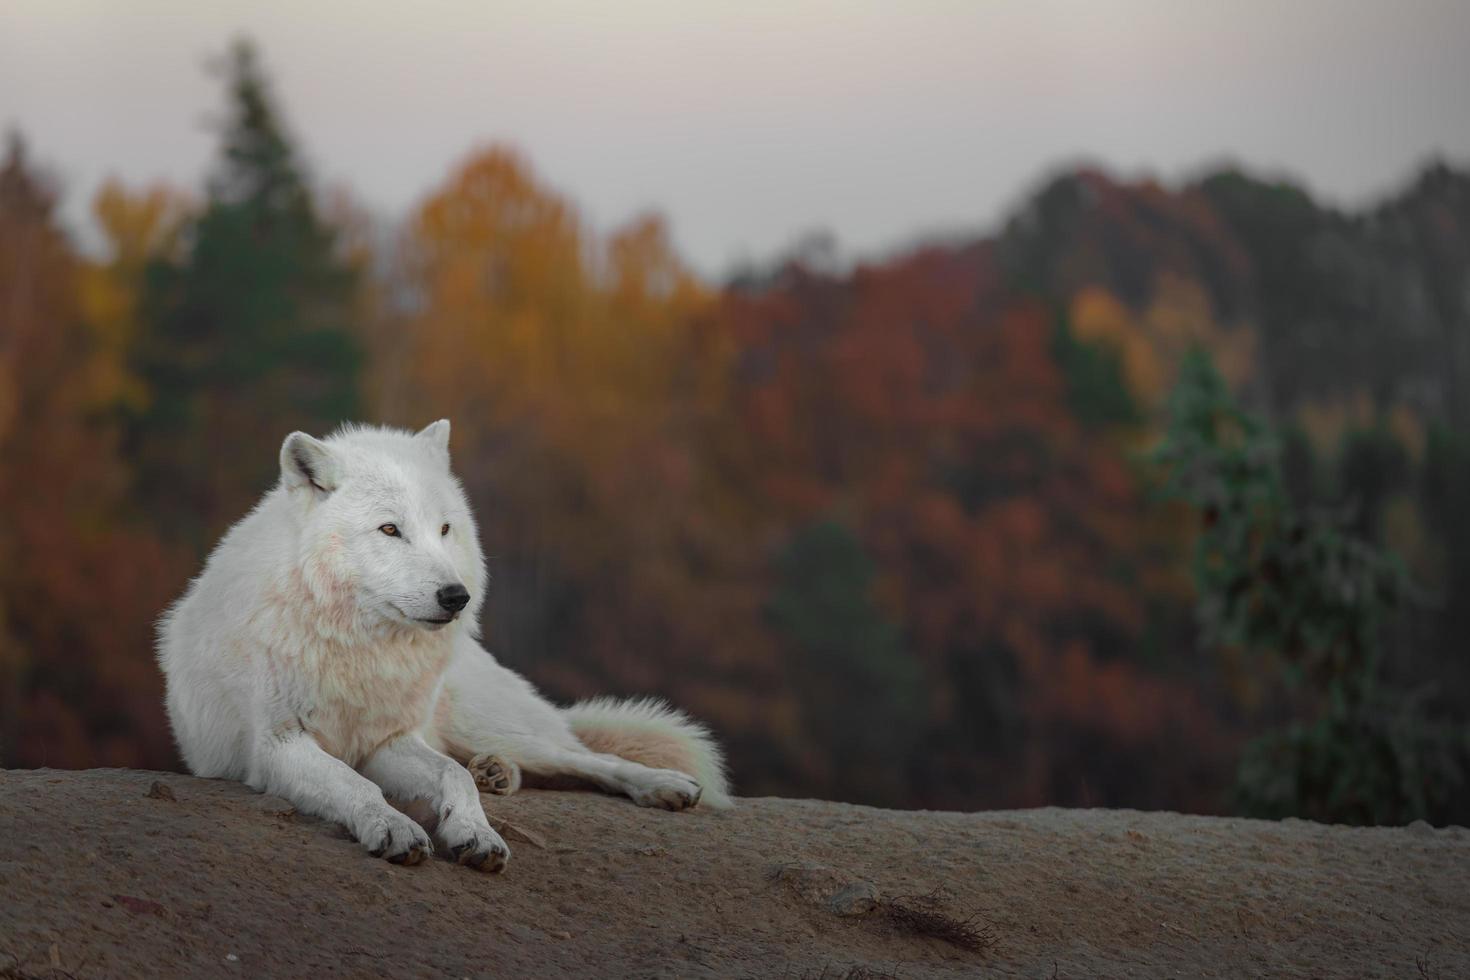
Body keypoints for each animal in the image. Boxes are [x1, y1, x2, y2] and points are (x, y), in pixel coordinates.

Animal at [159, 426, 729, 869]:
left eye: (444, 529)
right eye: (390, 529)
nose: (457, 596)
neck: (362, 649)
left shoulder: (387, 740)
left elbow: (452, 777)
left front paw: (476, 833)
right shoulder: (278, 746)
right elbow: (353, 783)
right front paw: (394, 827)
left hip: (493, 725)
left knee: (584, 757)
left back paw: (660, 784)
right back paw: (498, 773)